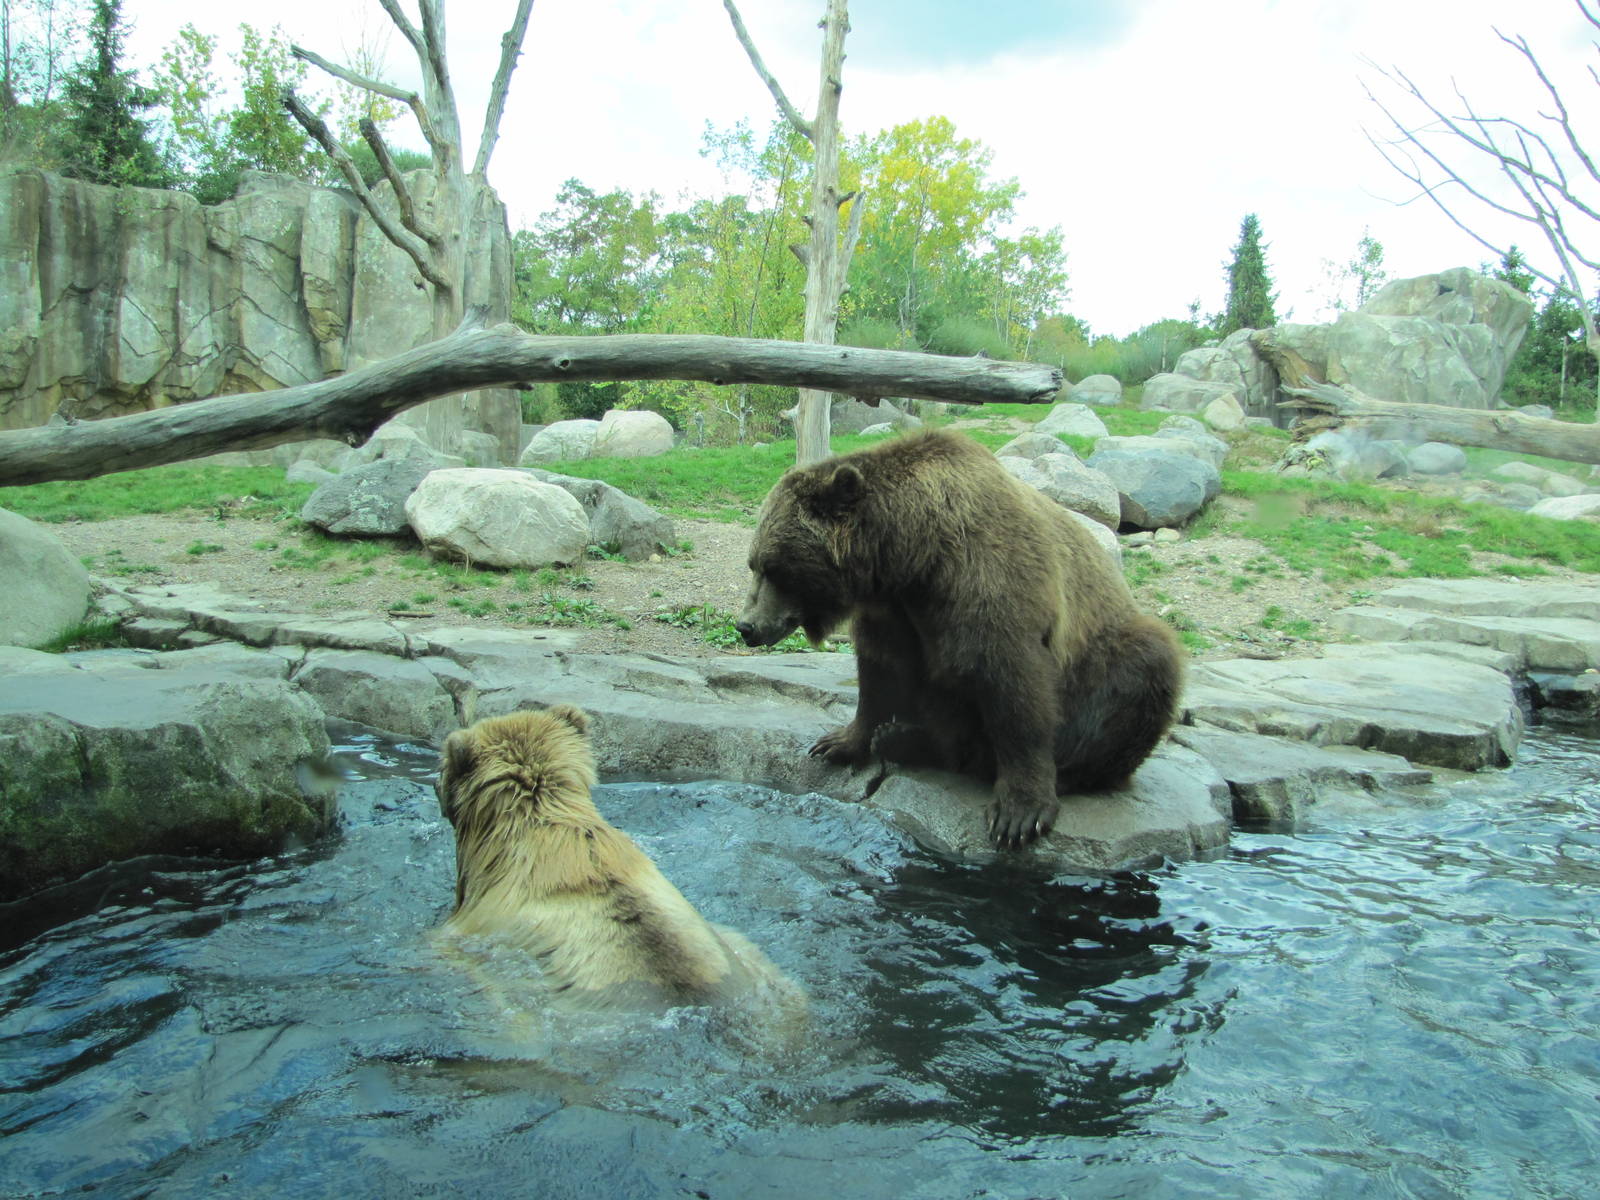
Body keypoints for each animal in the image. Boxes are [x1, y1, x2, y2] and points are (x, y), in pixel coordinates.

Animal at [735, 429, 1183, 850]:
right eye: (754, 563)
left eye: (773, 567)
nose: (747, 626)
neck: (915, 555)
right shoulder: (893, 611)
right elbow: (880, 673)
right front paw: (839, 742)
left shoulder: (988, 582)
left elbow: (1014, 685)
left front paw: (1019, 814)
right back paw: (902, 738)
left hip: (1107, 660)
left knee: (1141, 669)